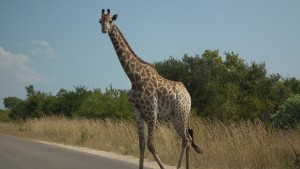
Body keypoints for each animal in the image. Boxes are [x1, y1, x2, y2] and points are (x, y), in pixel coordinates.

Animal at [98, 9, 202, 169]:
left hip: (182, 112)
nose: (104, 29)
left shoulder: (152, 112)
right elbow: (141, 144)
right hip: (174, 115)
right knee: (187, 139)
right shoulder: (137, 111)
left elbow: (150, 144)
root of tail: (188, 94)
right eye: (100, 21)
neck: (134, 77)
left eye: (110, 21)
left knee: (185, 139)